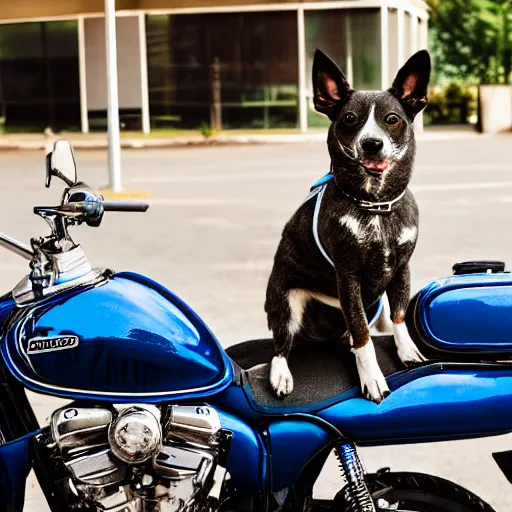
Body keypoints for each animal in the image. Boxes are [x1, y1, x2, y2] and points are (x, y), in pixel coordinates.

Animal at [262, 49, 430, 404]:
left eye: (392, 119)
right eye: (350, 119)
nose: (371, 144)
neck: (375, 206)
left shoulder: (401, 268)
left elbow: (397, 315)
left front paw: (407, 349)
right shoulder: (348, 275)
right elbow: (363, 333)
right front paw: (372, 378)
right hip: (286, 303)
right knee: (281, 347)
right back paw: (281, 375)